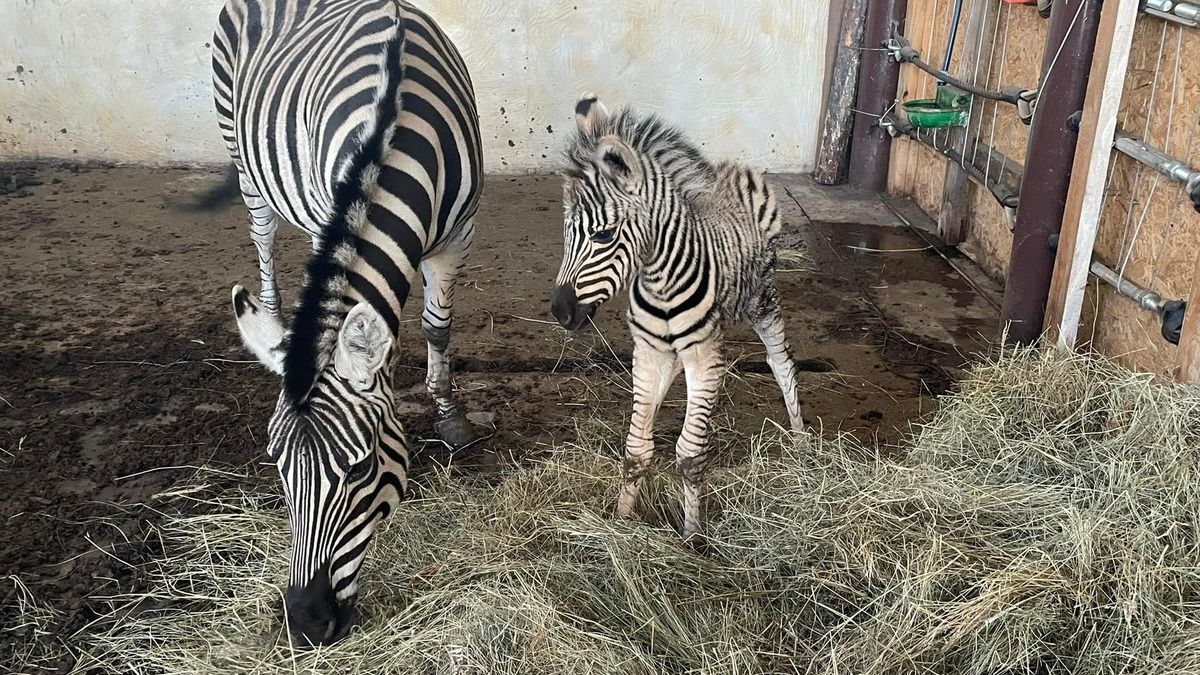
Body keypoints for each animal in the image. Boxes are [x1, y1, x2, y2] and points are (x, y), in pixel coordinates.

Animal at [211, 0, 482, 638]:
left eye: (359, 471)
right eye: (277, 468)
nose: (306, 623)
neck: (393, 129)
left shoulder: (457, 237)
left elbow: (436, 324)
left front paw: (448, 412)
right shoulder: (326, 215)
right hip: (245, 157)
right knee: (263, 234)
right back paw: (272, 315)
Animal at [552, 93, 806, 535]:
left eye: (603, 235)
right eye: (567, 234)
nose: (559, 311)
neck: (660, 279)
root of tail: (734, 170)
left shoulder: (704, 355)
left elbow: (690, 453)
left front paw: (692, 535)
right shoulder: (650, 351)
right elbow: (636, 448)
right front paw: (621, 520)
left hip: (763, 298)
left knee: (781, 363)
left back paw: (802, 442)